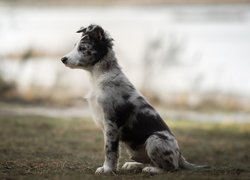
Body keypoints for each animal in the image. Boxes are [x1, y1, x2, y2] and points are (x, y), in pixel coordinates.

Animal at [61, 24, 207, 174]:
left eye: (82, 48)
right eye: (75, 46)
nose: (63, 59)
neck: (100, 76)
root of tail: (181, 157)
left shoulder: (111, 122)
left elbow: (110, 149)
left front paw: (107, 169)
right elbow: (112, 149)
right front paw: (110, 168)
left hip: (154, 139)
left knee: (171, 168)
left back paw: (151, 170)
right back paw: (133, 165)